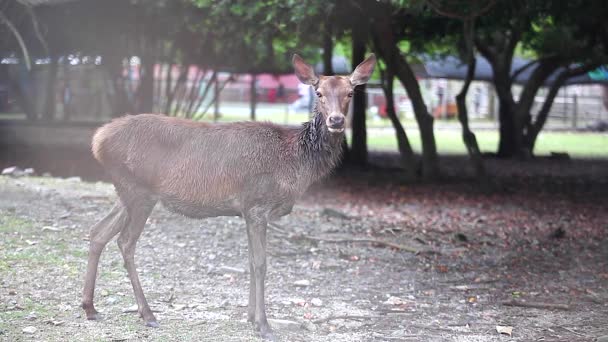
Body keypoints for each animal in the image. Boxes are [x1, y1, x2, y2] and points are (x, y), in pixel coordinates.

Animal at [81, 53, 376, 340]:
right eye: (319, 92)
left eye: (351, 92)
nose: (336, 120)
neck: (295, 166)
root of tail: (96, 140)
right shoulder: (258, 205)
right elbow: (261, 263)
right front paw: (264, 325)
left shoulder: (246, 211)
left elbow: (250, 261)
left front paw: (250, 318)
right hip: (138, 191)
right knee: (125, 242)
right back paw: (148, 314)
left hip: (127, 191)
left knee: (98, 231)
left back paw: (90, 307)